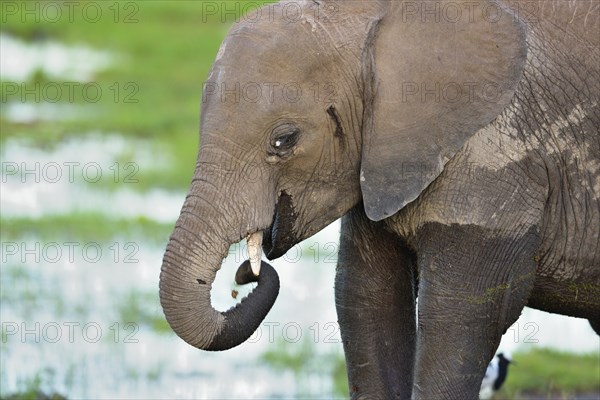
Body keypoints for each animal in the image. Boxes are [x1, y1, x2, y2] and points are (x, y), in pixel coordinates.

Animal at [159, 1, 600, 398]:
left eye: (284, 140)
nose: (246, 275)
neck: (367, 15)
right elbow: (366, 298)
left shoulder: (501, 163)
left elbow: (458, 316)